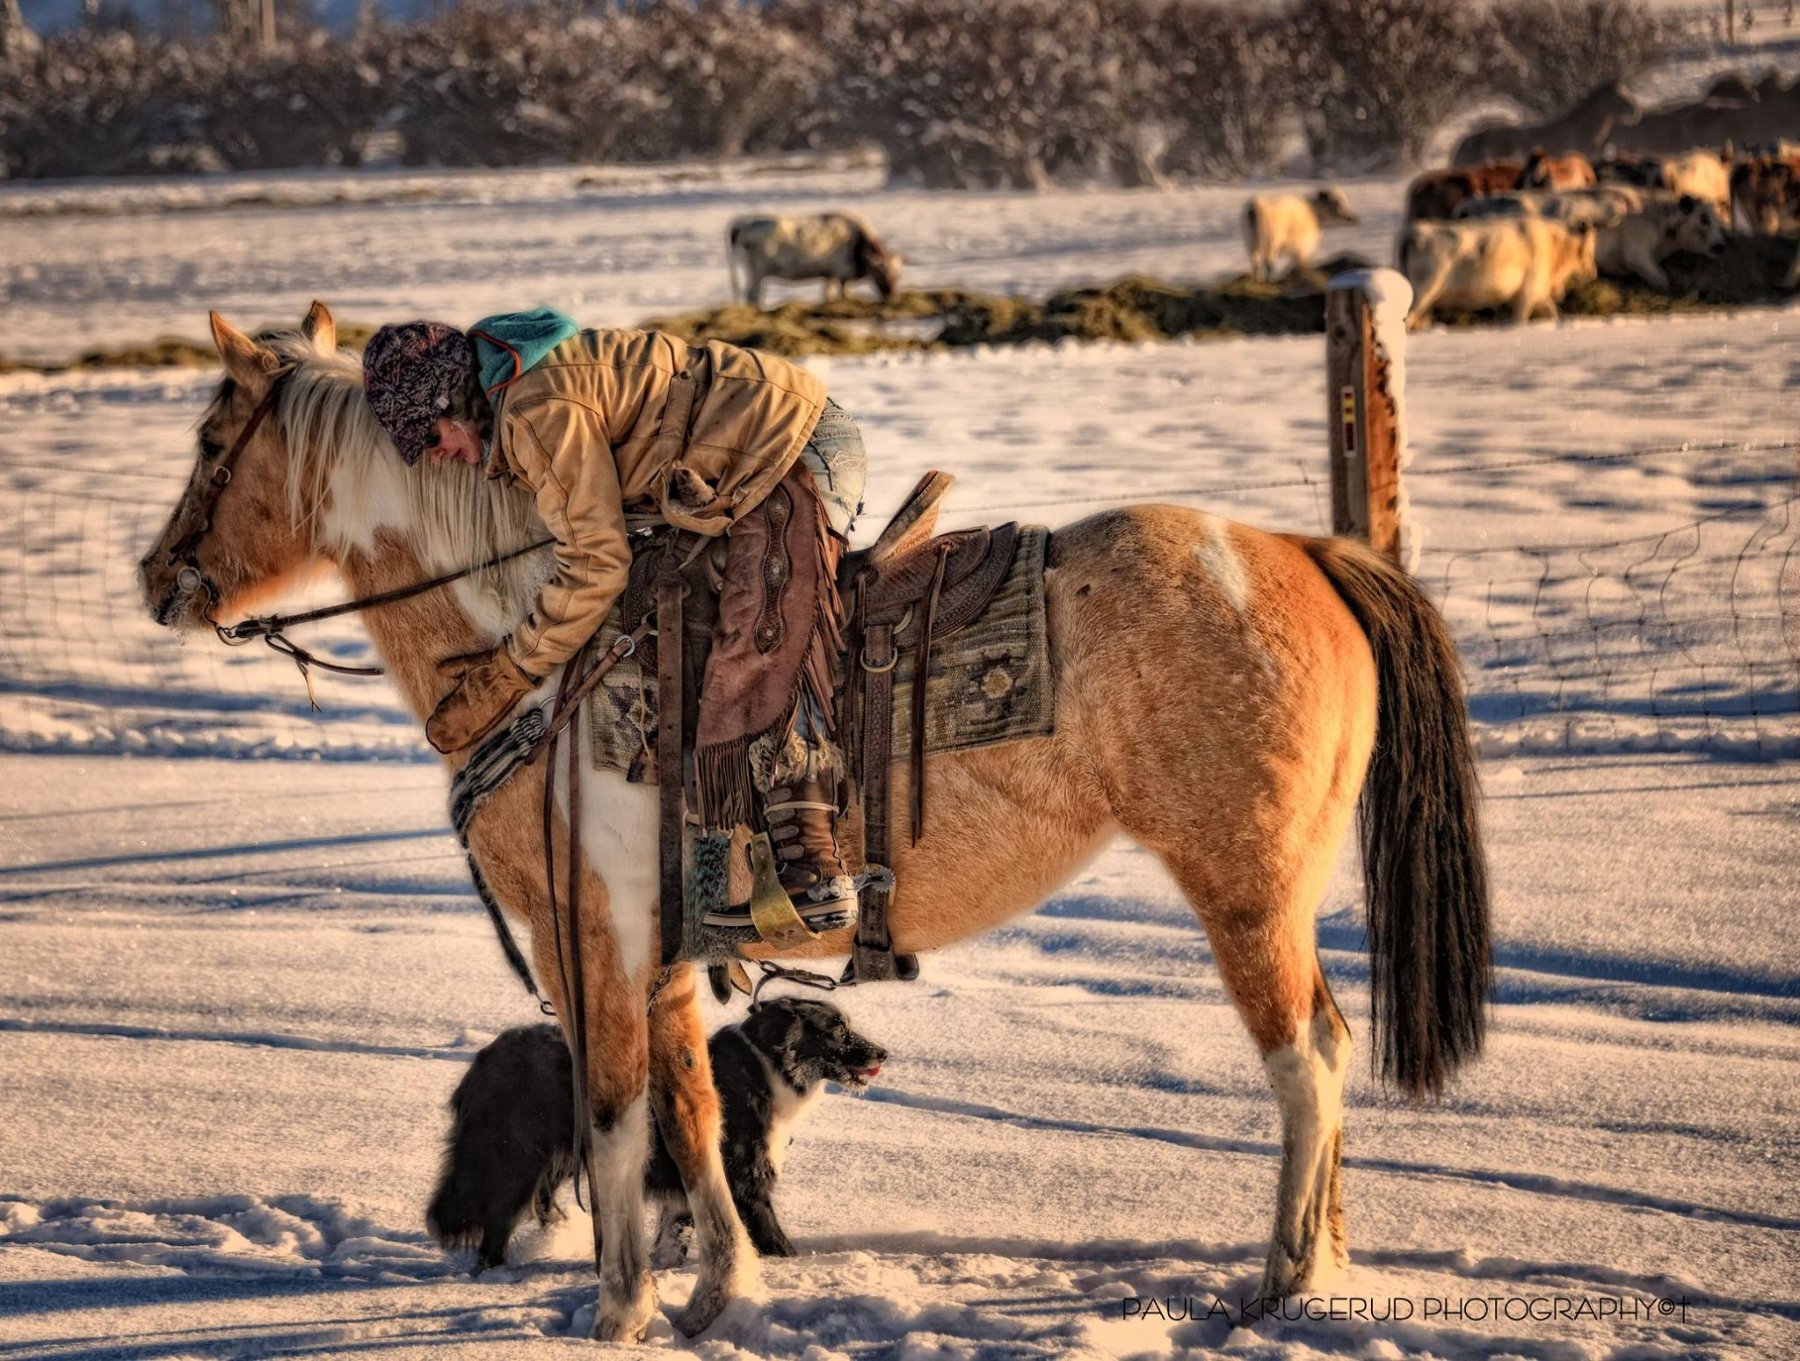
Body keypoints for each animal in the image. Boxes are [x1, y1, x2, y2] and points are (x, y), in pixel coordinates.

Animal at [140, 302, 1491, 1343]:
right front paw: (712, 1296)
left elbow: (615, 1122)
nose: (157, 580)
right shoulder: (666, 958)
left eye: (209, 438)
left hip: (1246, 888)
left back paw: (1282, 1279)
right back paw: (1331, 1268)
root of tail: (1306, 550)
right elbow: (689, 1114)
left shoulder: (594, 944)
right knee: (1331, 1051)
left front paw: (617, 1313)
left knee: (1306, 1063)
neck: (542, 661)